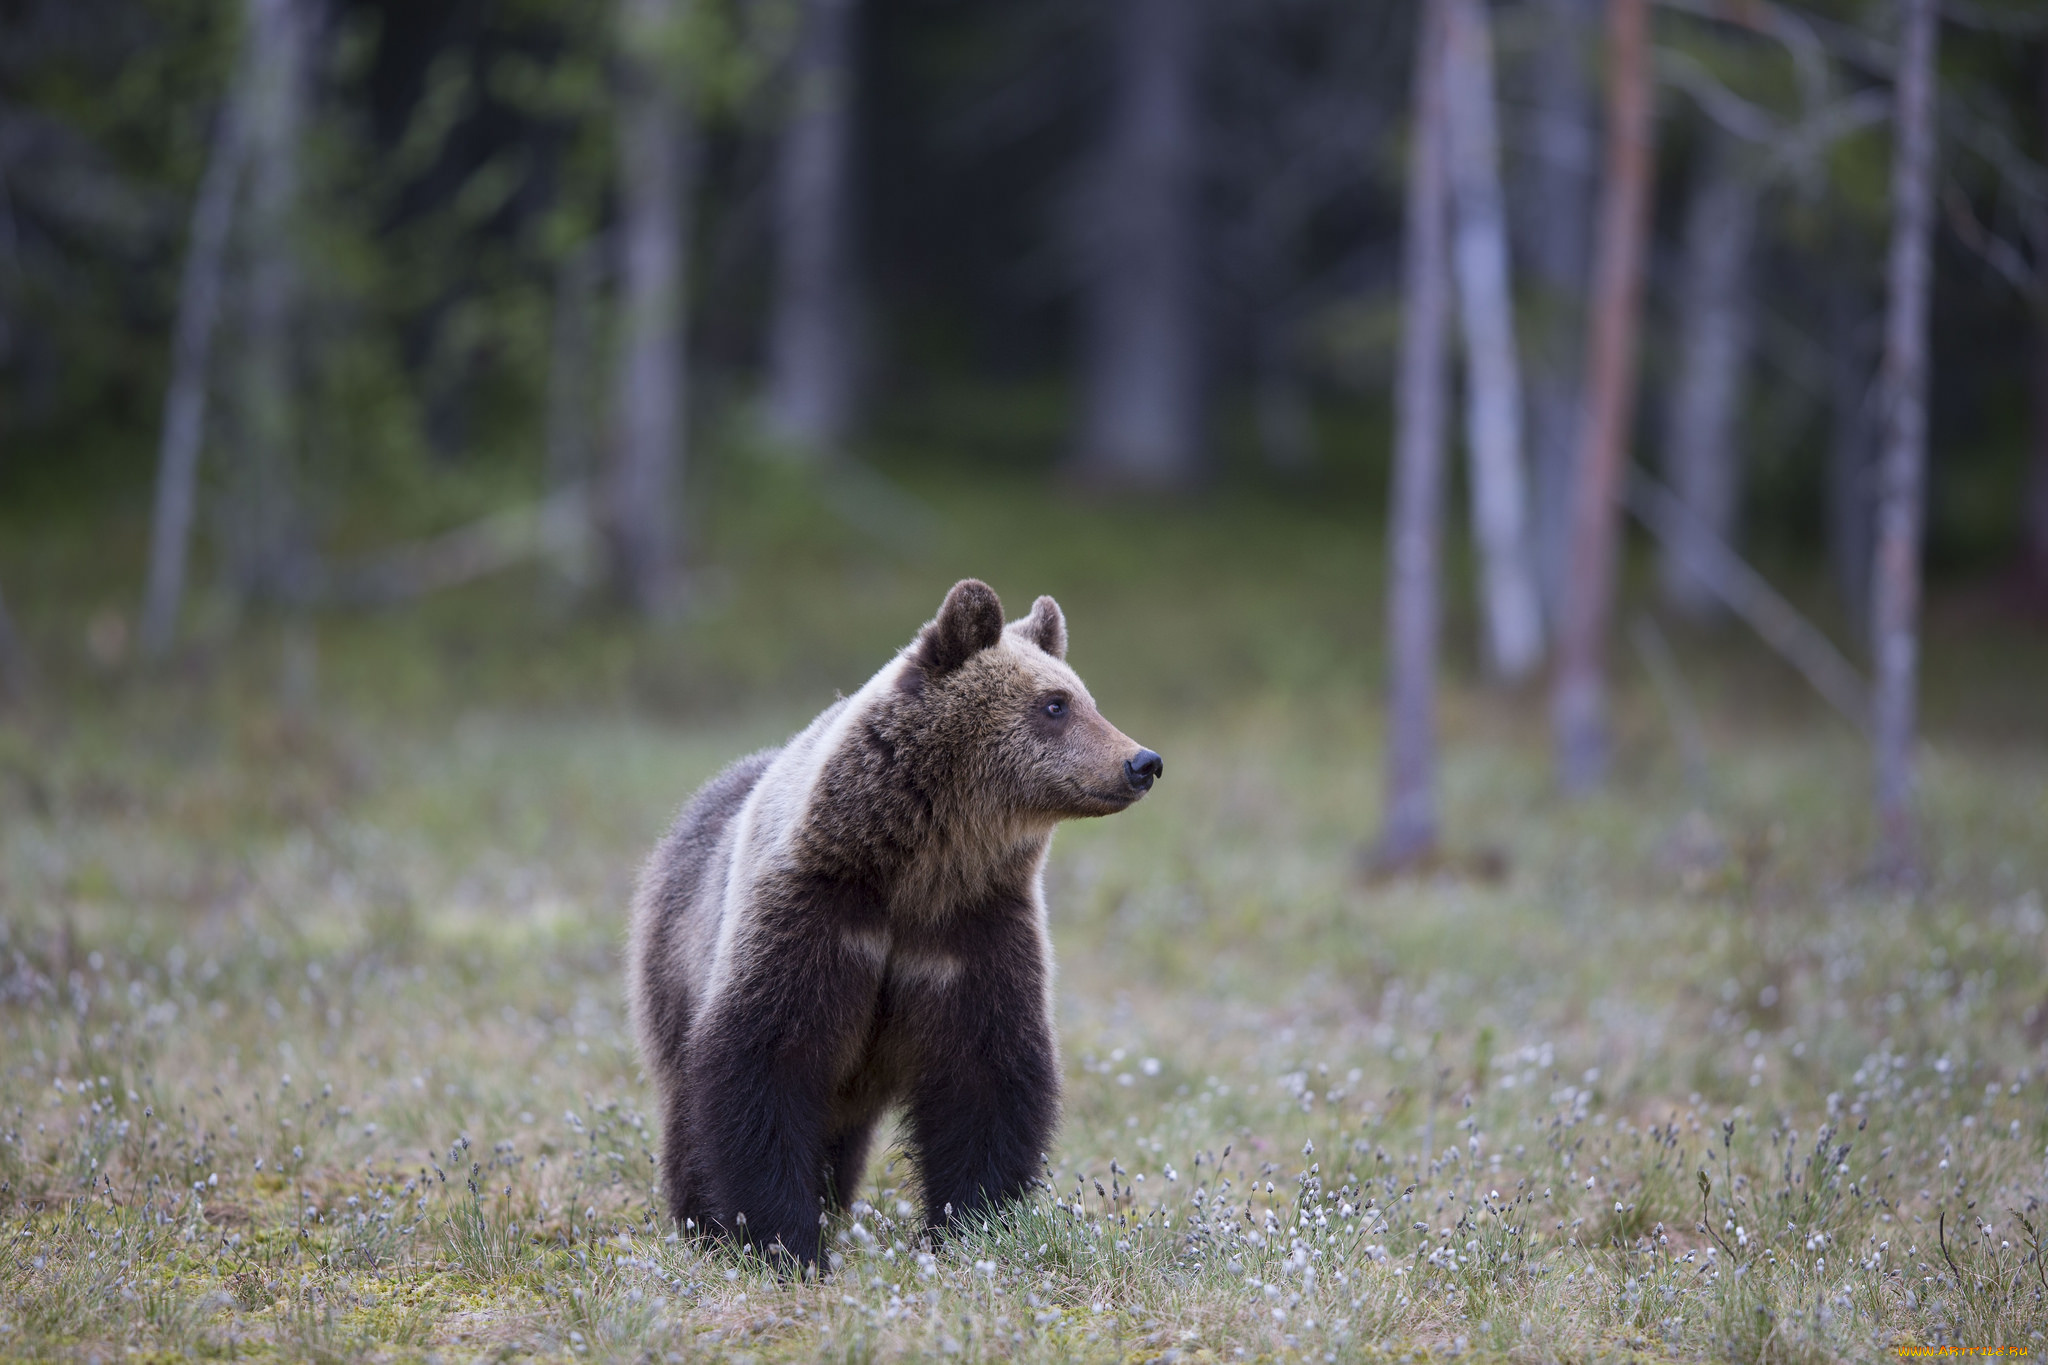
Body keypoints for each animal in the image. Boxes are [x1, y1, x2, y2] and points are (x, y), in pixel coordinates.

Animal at [622, 581, 1163, 1268]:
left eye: (1084, 698)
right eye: (1054, 704)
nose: (1142, 762)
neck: (917, 870)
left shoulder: (972, 931)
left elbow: (987, 1077)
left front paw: (969, 1225)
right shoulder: (815, 915)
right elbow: (763, 1061)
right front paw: (783, 1240)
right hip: (674, 960)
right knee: (688, 1107)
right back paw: (702, 1222)